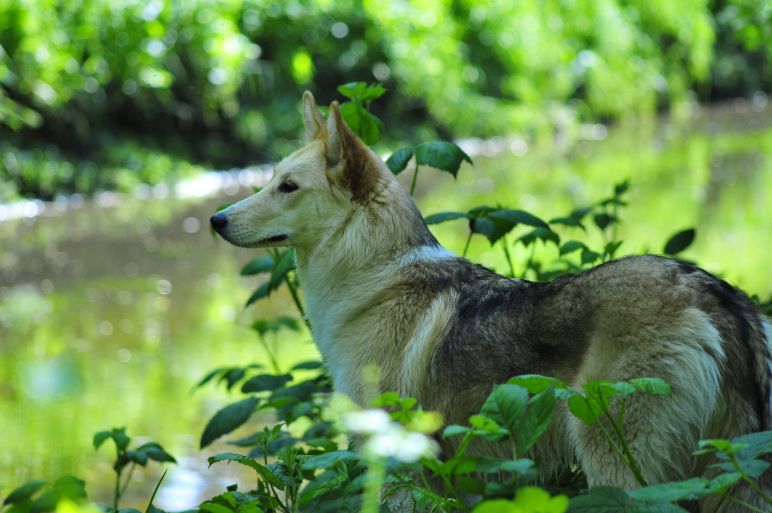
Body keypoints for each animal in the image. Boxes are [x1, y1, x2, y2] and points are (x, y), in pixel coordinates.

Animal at [211, 91, 772, 508]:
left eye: (287, 187)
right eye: (269, 180)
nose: (216, 220)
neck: (377, 275)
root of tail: (716, 295)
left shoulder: (394, 463)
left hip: (618, 468)